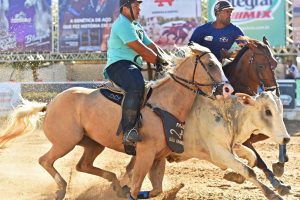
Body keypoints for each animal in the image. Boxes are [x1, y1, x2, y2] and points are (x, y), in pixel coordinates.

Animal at [0, 43, 233, 200]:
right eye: (210, 64)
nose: (227, 89)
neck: (164, 104)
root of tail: (50, 104)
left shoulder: (158, 158)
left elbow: (155, 189)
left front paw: (129, 189)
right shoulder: (145, 153)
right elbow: (137, 185)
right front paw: (129, 190)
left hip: (93, 144)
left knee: (82, 165)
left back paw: (114, 184)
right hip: (65, 142)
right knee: (45, 160)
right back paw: (62, 188)